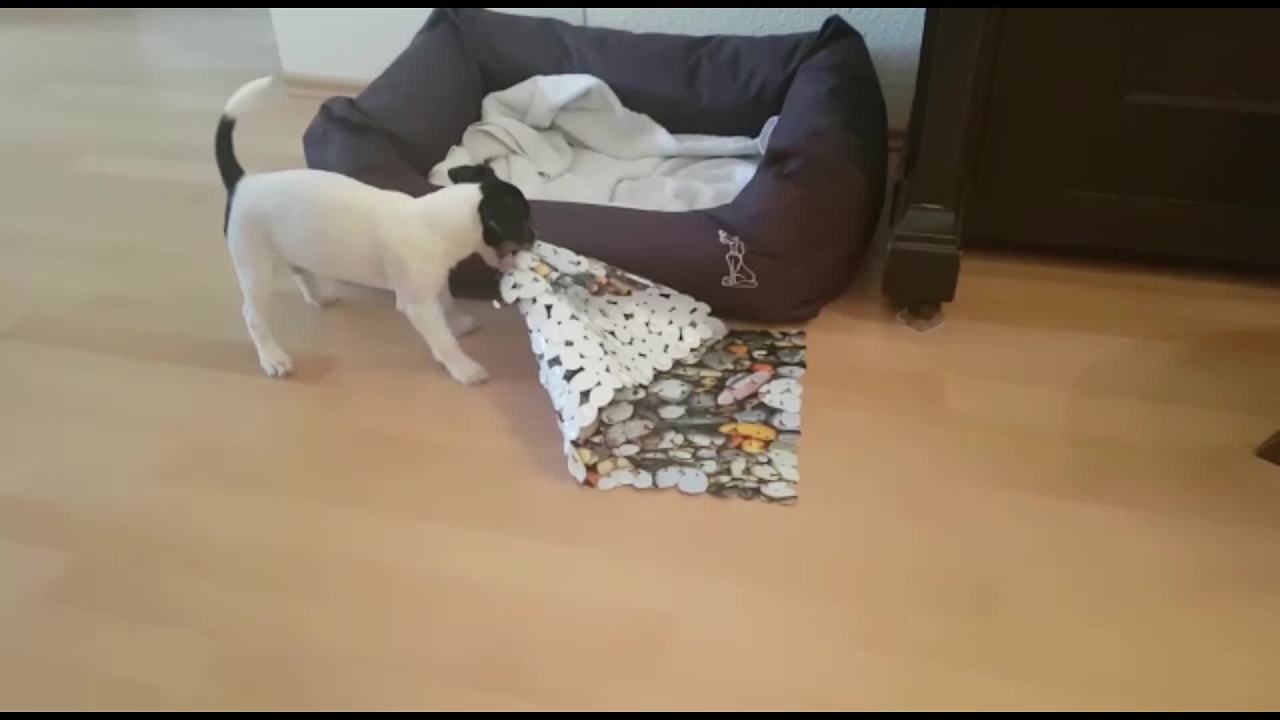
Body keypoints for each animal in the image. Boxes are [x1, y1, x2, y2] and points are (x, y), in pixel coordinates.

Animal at [213, 75, 529, 384]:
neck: (438, 219)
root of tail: (242, 183)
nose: (534, 238)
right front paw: (464, 368)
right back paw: (272, 358)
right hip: (254, 264)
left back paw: (319, 298)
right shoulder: (417, 304)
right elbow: (442, 339)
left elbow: (446, 303)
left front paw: (458, 323)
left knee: (300, 273)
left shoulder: (434, 281)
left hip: (289, 246)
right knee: (252, 315)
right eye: (525, 222)